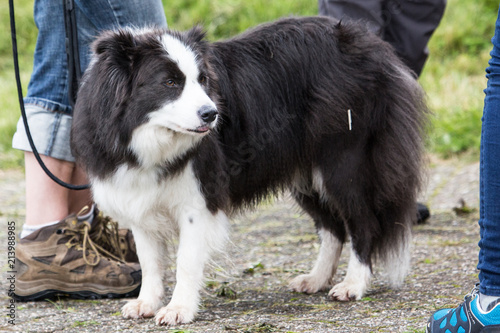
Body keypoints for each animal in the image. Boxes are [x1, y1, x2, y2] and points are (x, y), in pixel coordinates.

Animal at [72, 15, 428, 324]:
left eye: (203, 80)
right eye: (170, 82)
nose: (212, 114)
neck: (146, 136)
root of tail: (371, 44)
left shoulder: (199, 194)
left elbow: (186, 258)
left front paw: (178, 310)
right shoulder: (138, 192)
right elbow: (149, 258)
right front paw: (145, 303)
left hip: (344, 153)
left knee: (362, 222)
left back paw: (352, 285)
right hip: (305, 170)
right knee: (332, 226)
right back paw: (315, 279)